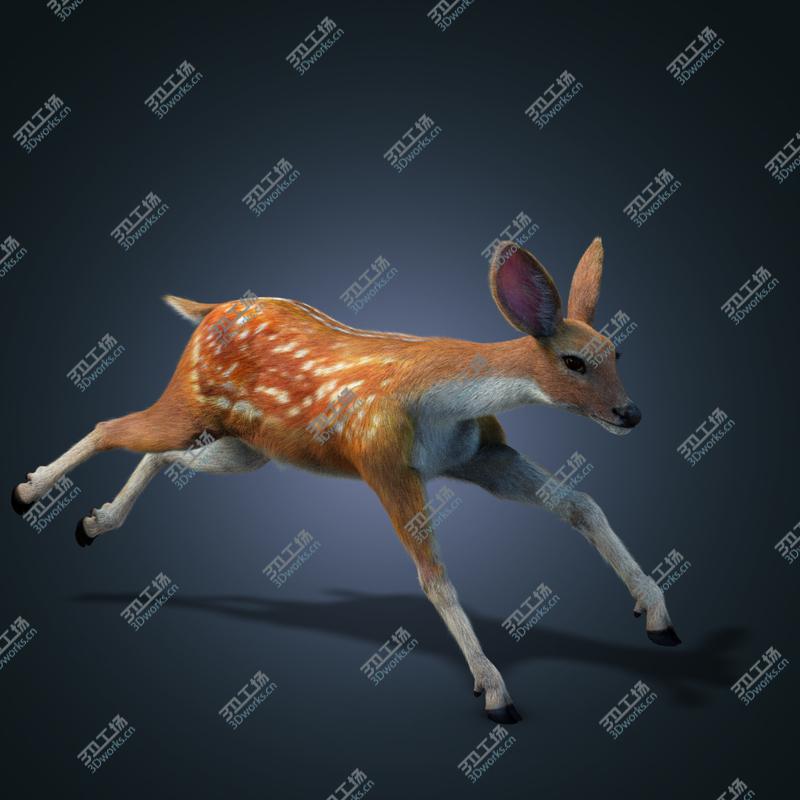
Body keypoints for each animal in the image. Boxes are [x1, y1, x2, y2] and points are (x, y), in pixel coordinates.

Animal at [11, 238, 680, 723]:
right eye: (574, 361)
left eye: (618, 353)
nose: (630, 414)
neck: (442, 400)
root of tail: (210, 310)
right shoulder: (382, 460)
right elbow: (434, 577)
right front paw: (495, 693)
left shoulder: (479, 452)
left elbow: (579, 502)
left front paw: (657, 615)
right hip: (191, 401)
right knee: (111, 426)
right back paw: (28, 493)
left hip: (245, 447)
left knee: (161, 456)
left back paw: (94, 521)